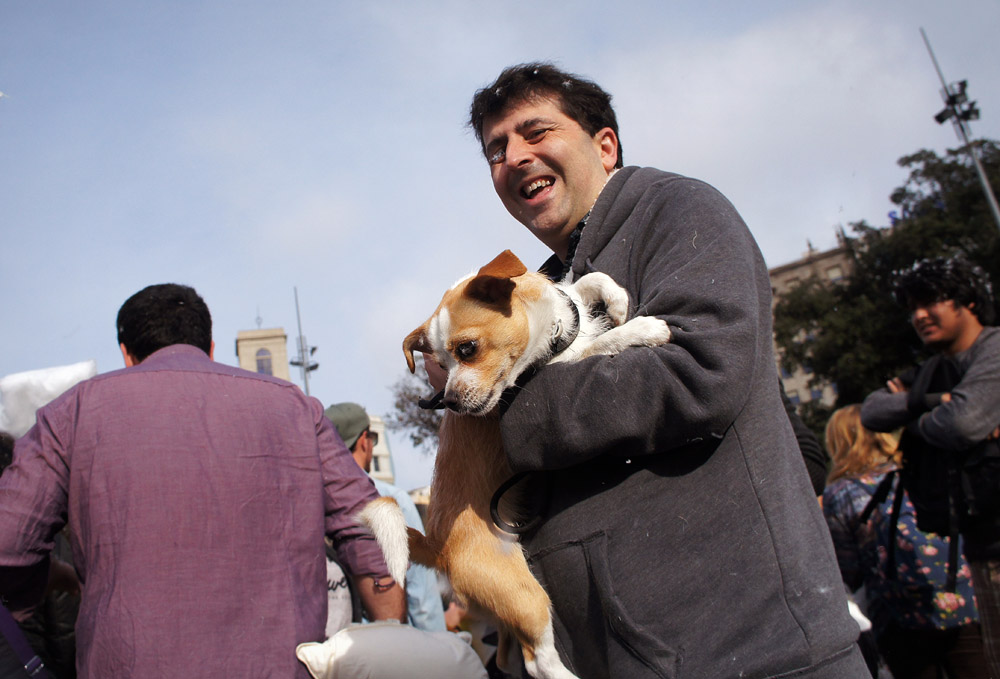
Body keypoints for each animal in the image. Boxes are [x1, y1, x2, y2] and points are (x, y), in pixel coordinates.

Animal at [360, 251, 672, 679]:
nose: (449, 401)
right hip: (525, 597)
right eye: (438, 363)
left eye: (466, 349)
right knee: (538, 661)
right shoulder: (563, 367)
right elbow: (600, 343)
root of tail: (438, 547)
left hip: (504, 609)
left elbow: (587, 282)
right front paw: (641, 328)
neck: (550, 338)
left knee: (509, 657)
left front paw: (616, 300)